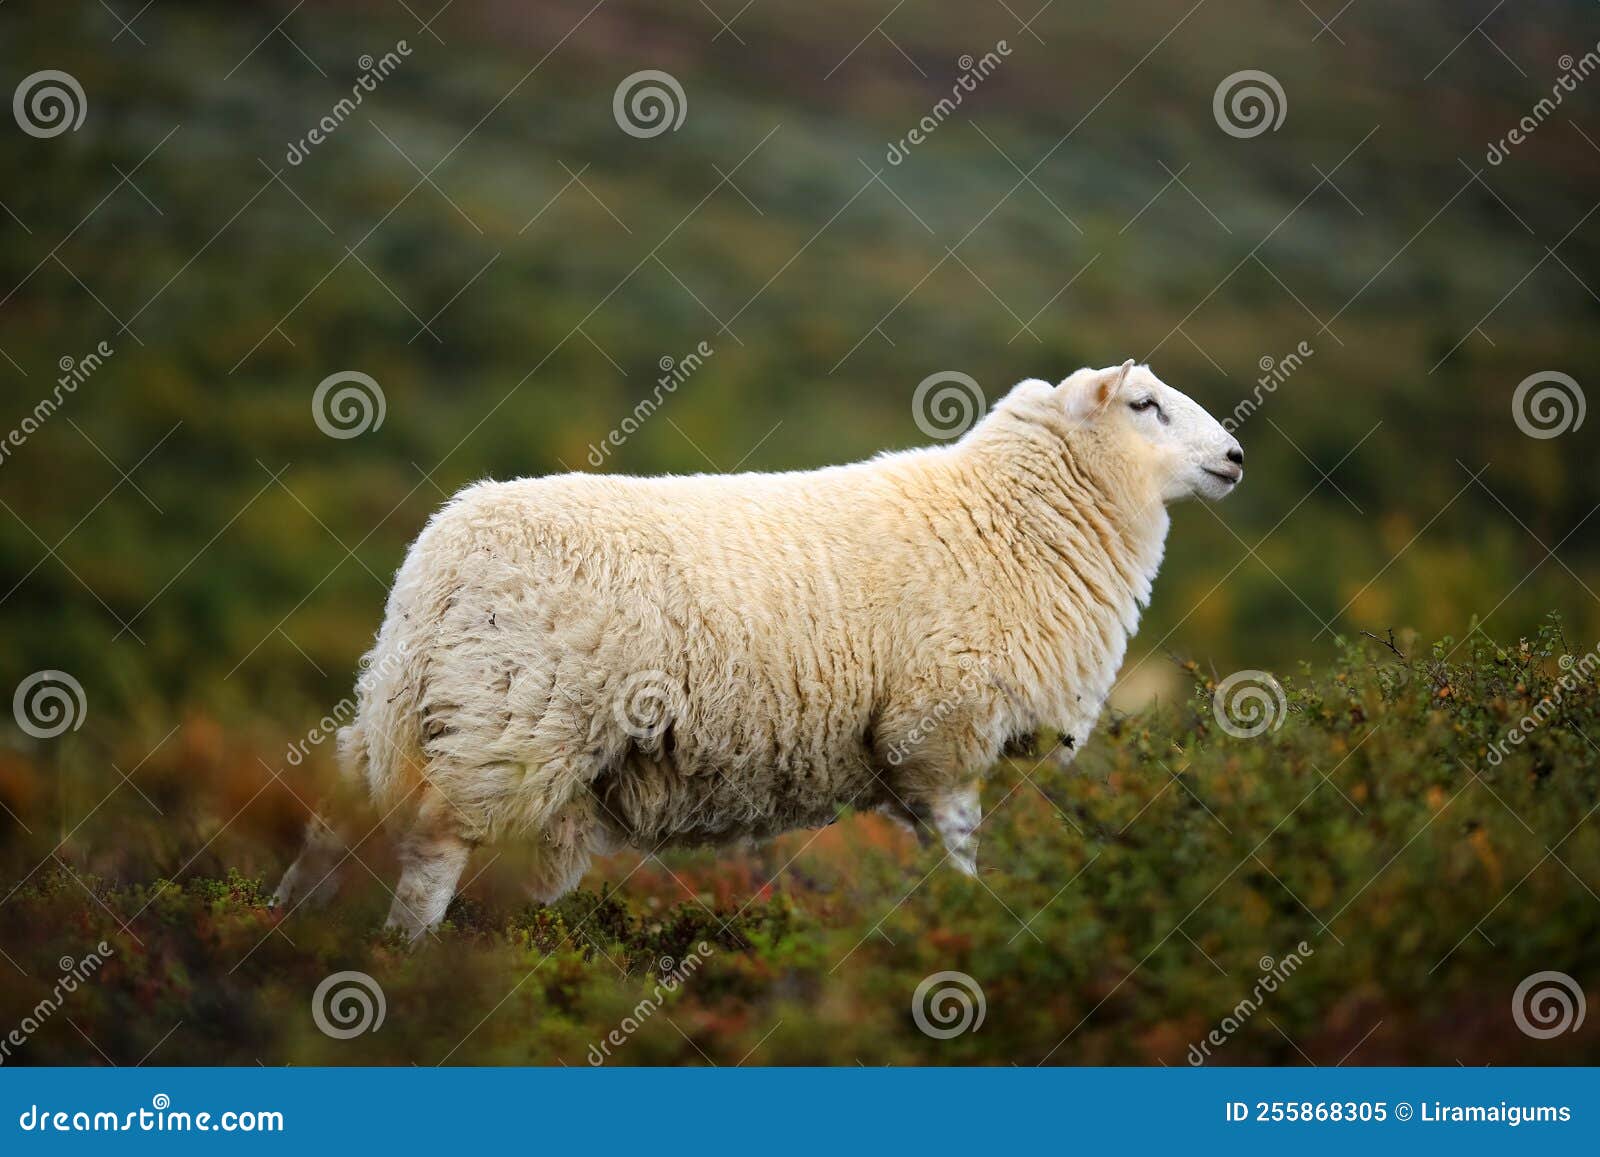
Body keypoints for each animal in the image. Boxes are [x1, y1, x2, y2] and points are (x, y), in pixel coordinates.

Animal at [274, 361, 1244, 940]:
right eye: (1146, 404)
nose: (1237, 455)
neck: (1003, 516)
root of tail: (439, 552)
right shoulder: (943, 731)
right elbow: (960, 844)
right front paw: (967, 924)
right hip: (506, 721)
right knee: (432, 852)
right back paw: (404, 955)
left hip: (422, 711)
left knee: (341, 817)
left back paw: (287, 926)